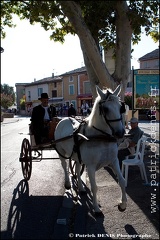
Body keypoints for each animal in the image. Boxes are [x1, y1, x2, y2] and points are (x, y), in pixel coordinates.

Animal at [55, 85, 127, 214]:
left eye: (120, 107)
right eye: (106, 109)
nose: (120, 133)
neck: (101, 136)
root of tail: (64, 119)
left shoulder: (114, 161)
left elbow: (122, 181)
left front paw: (122, 204)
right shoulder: (91, 166)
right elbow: (94, 187)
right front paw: (96, 208)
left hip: (77, 156)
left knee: (77, 169)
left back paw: (81, 188)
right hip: (61, 153)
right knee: (65, 166)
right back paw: (67, 183)